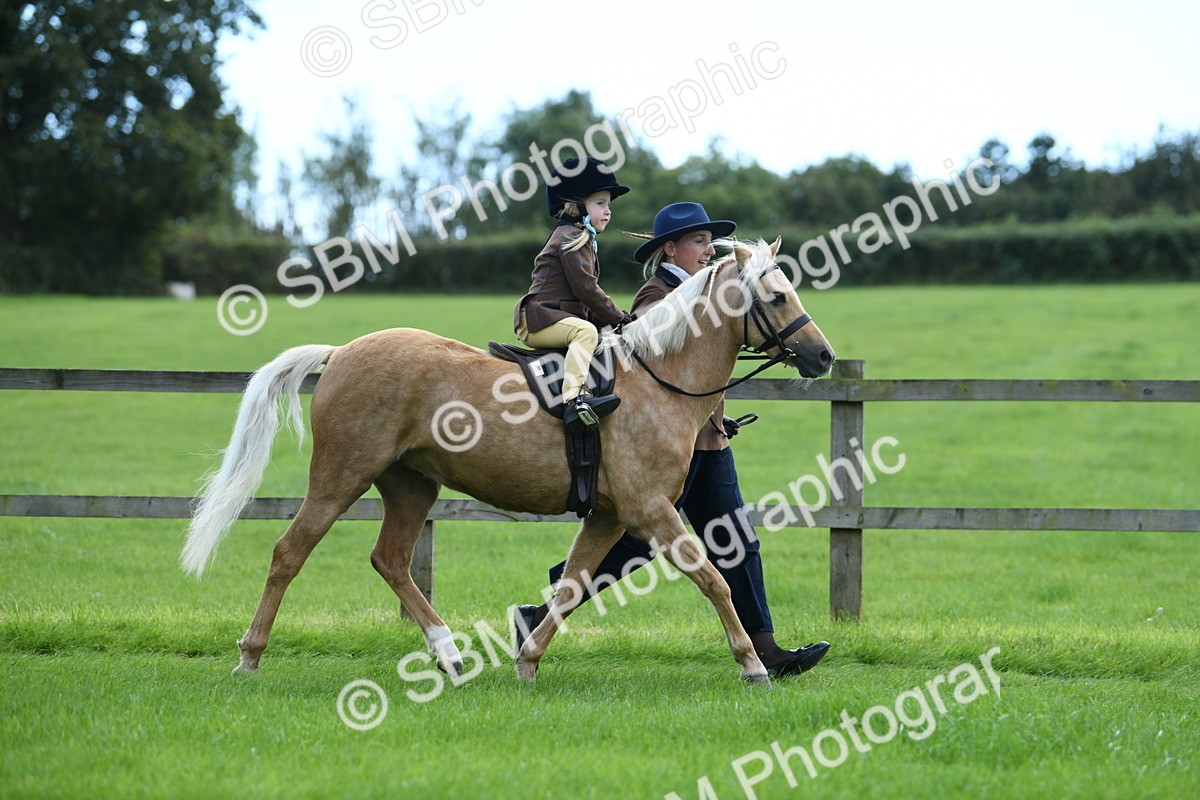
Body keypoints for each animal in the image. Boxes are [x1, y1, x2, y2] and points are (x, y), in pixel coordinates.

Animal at [181, 237, 836, 685]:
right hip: (340, 478)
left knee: (390, 561)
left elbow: (571, 586)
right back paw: (250, 657)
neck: (657, 381)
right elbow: (714, 579)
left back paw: (449, 654)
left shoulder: (610, 517)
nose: (823, 355)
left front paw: (527, 660)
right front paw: (753, 664)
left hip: (412, 486)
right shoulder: (651, 511)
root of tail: (342, 350)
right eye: (778, 295)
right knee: (289, 553)